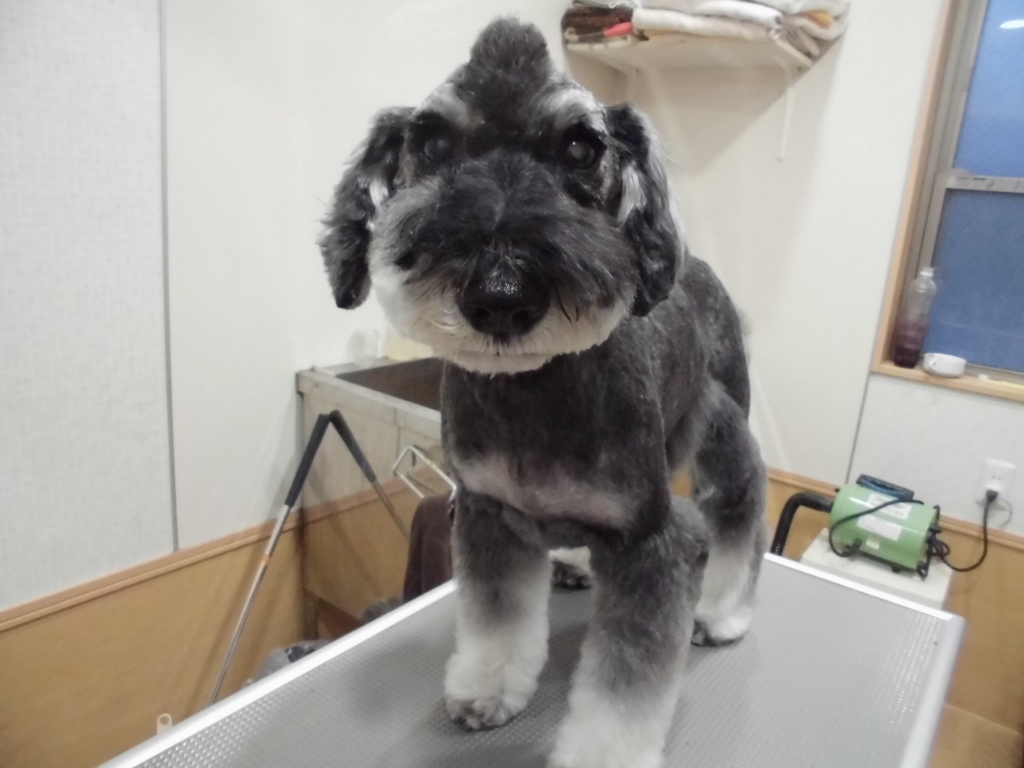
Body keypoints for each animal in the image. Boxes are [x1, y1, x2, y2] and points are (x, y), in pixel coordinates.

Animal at [320, 18, 766, 768]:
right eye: (432, 144)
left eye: (581, 148)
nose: (500, 296)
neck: (532, 388)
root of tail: (697, 266)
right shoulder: (488, 512)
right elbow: (496, 620)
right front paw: (487, 689)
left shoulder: (652, 540)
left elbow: (625, 685)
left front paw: (605, 751)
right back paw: (573, 563)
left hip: (724, 425)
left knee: (739, 509)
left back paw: (722, 612)